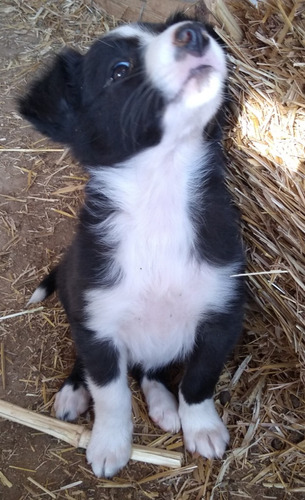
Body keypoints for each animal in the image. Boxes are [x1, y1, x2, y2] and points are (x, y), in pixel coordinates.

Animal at [19, 12, 243, 476]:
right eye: (119, 71)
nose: (194, 32)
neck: (160, 194)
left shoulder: (223, 314)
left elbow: (199, 379)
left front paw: (201, 427)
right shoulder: (98, 325)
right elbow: (112, 394)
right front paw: (109, 444)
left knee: (151, 370)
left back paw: (163, 405)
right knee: (90, 366)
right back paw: (74, 392)